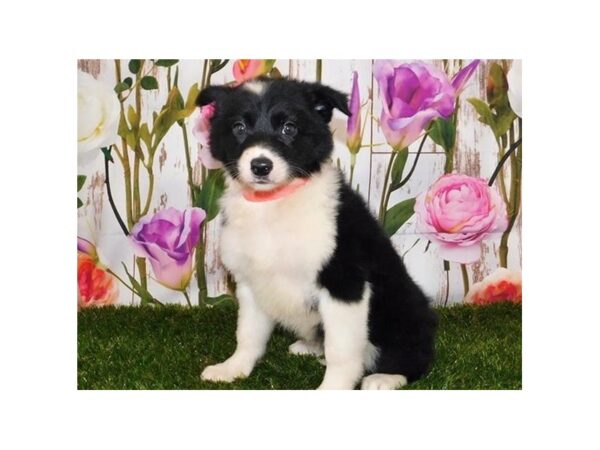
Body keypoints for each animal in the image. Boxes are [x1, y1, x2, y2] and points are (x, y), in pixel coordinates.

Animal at [197, 78, 436, 390]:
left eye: (289, 128)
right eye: (239, 127)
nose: (260, 166)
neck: (273, 203)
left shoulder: (344, 284)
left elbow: (341, 349)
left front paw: (333, 388)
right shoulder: (250, 282)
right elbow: (248, 334)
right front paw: (233, 368)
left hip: (402, 307)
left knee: (415, 353)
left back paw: (385, 376)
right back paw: (309, 347)